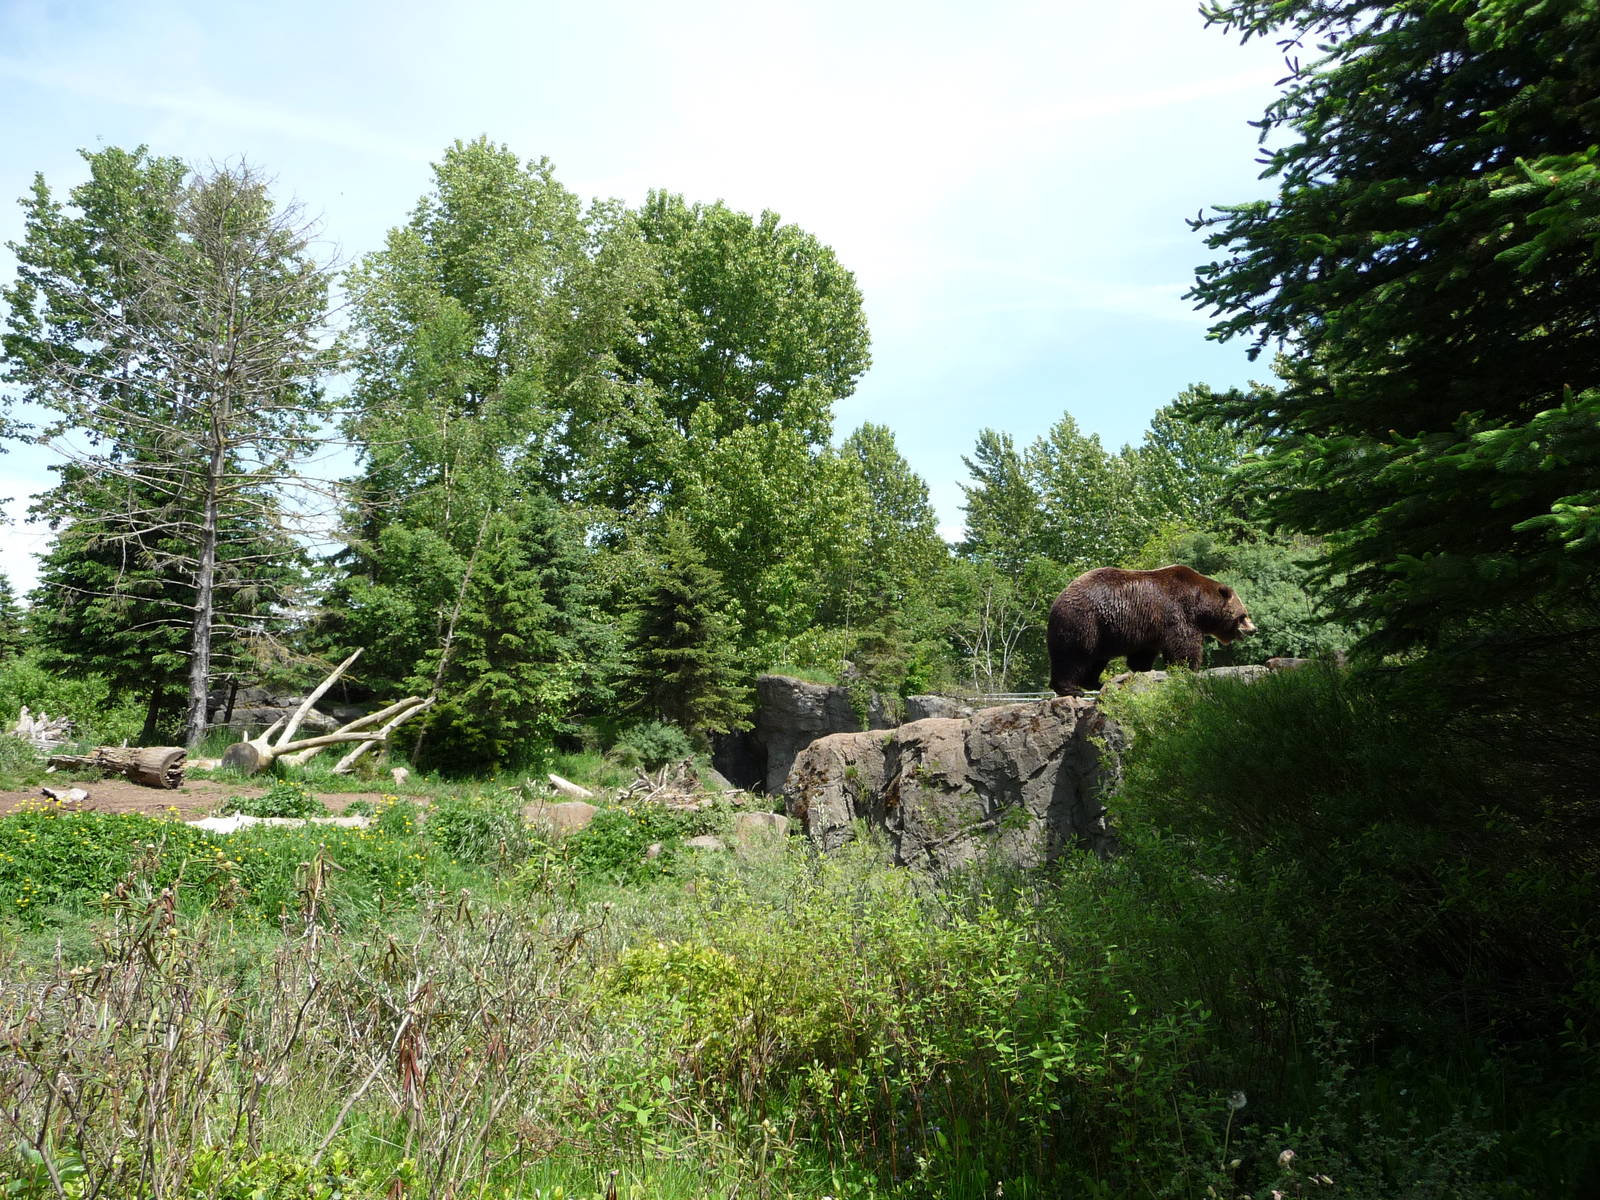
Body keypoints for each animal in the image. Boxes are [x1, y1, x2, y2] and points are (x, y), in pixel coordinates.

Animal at [1046, 564, 1256, 695]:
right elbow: (1184, 645)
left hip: (1102, 633)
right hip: (1084, 622)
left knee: (1096, 660)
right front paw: (1189, 668)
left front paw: (1143, 670)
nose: (1254, 629)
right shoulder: (1177, 613)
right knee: (1073, 656)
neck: (1200, 606)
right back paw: (1071, 689)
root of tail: (1058, 599)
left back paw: (1096, 682)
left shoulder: (1149, 629)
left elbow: (1142, 655)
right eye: (1243, 615)